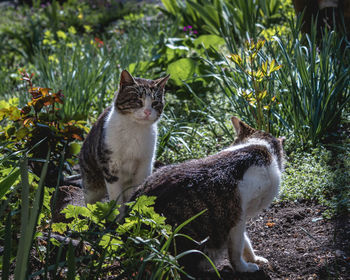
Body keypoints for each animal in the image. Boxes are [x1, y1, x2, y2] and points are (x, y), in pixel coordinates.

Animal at [80, 69, 171, 206]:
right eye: (138, 100)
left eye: (155, 103)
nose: (148, 112)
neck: (134, 129)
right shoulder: (110, 166)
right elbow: (116, 200)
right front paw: (116, 212)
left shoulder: (144, 165)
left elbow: (137, 192)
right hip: (91, 183)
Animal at [129, 117, 284, 274]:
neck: (259, 148)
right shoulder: (238, 214)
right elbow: (236, 249)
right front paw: (244, 268)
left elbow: (245, 241)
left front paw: (254, 258)